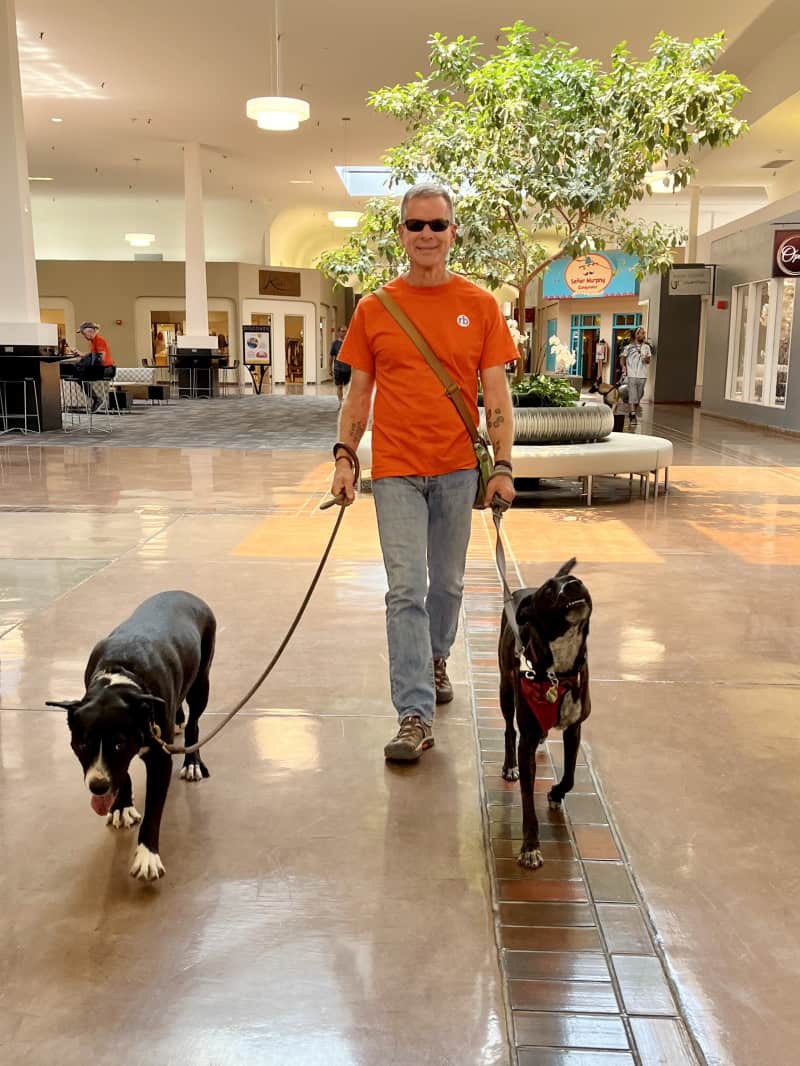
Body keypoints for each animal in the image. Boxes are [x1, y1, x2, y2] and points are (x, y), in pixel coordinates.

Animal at [46, 592, 216, 882]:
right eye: (81, 745)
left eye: (118, 744)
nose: (98, 786)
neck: (121, 677)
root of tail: (184, 593)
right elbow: (122, 774)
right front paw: (122, 806)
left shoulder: (160, 760)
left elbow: (153, 811)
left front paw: (148, 856)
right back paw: (178, 720)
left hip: (201, 682)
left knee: (194, 723)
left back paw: (192, 761)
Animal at [499, 558, 593, 865]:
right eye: (550, 591)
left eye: (577, 581)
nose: (574, 583)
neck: (558, 673)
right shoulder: (526, 741)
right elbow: (528, 802)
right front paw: (530, 847)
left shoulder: (575, 728)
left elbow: (570, 777)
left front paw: (555, 793)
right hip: (506, 690)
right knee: (508, 729)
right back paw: (509, 766)